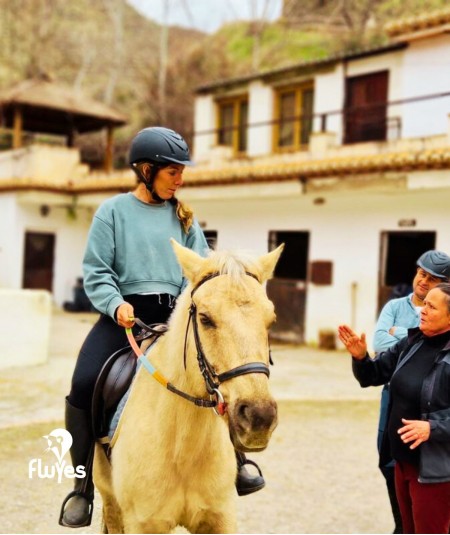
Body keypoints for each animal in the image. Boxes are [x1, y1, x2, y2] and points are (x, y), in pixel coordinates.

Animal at [94, 241, 284, 532]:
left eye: (271, 320)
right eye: (205, 318)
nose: (259, 417)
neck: (181, 446)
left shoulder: (220, 518)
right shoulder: (142, 523)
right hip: (109, 496)